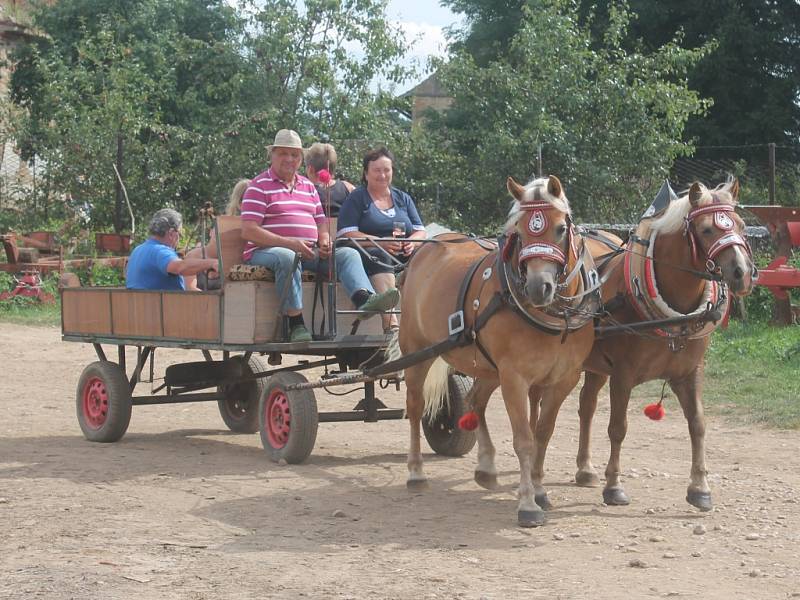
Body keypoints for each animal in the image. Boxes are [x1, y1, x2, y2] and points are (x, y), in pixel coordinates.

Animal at [396, 173, 596, 524]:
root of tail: (424, 250)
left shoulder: (565, 378)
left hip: (486, 366)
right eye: (519, 231)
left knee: (475, 400)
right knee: (416, 406)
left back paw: (486, 467)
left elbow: (543, 433)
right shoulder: (514, 378)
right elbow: (524, 440)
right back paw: (416, 472)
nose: (538, 287)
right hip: (417, 351)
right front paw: (528, 503)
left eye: (560, 228)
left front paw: (539, 491)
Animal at [532, 177, 756, 510]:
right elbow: (618, 428)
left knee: (586, 406)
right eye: (706, 230)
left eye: (741, 225)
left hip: (594, 366)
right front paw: (614, 486)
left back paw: (585, 469)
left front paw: (700, 488)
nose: (741, 273)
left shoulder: (690, 373)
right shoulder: (623, 375)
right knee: (538, 403)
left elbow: (698, 424)